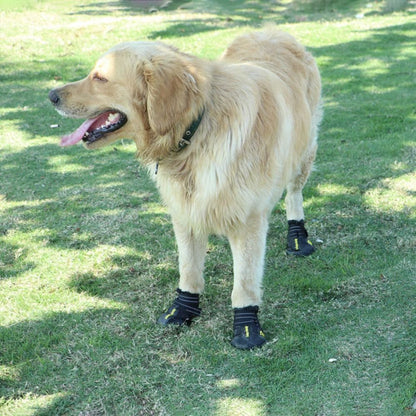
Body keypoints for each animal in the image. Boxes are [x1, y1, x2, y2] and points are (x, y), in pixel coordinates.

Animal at [48, 29, 322, 350]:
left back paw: (298, 237)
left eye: (100, 78)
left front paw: (246, 327)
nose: (51, 96)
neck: (197, 131)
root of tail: (272, 31)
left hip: (304, 154)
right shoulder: (185, 211)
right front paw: (183, 309)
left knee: (294, 195)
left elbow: (244, 282)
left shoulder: (248, 219)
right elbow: (189, 268)